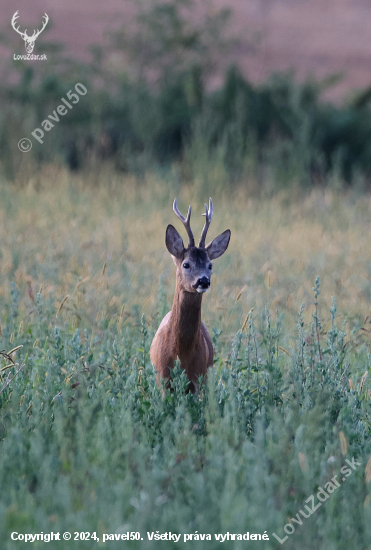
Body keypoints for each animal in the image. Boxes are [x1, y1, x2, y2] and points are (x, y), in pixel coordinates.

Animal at [150, 198, 231, 392]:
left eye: (210, 265)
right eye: (186, 264)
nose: (203, 281)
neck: (181, 352)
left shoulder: (198, 378)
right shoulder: (162, 378)